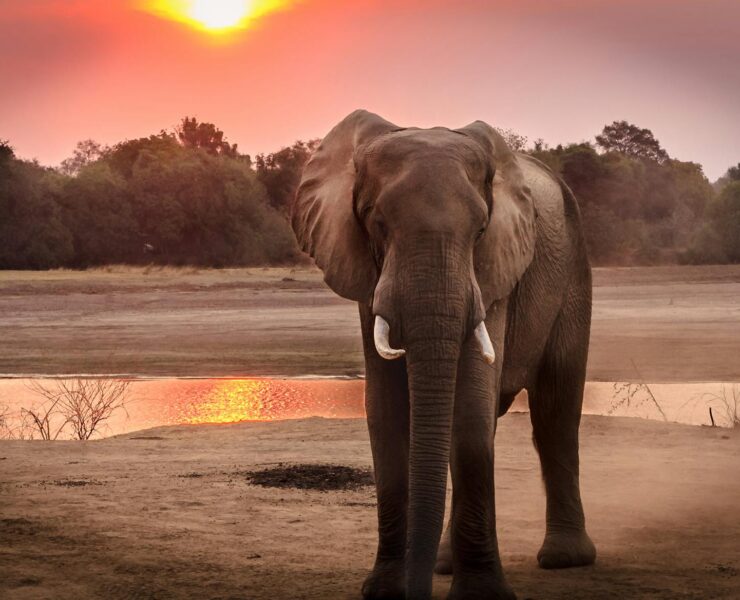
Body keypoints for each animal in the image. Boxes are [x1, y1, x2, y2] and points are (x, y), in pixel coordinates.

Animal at [291, 110, 596, 599]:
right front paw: (385, 590)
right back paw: (446, 564)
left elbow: (469, 407)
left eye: (481, 230)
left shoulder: (493, 272)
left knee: (555, 412)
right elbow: (386, 411)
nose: (415, 590)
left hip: (573, 271)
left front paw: (481, 596)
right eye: (376, 223)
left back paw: (564, 559)